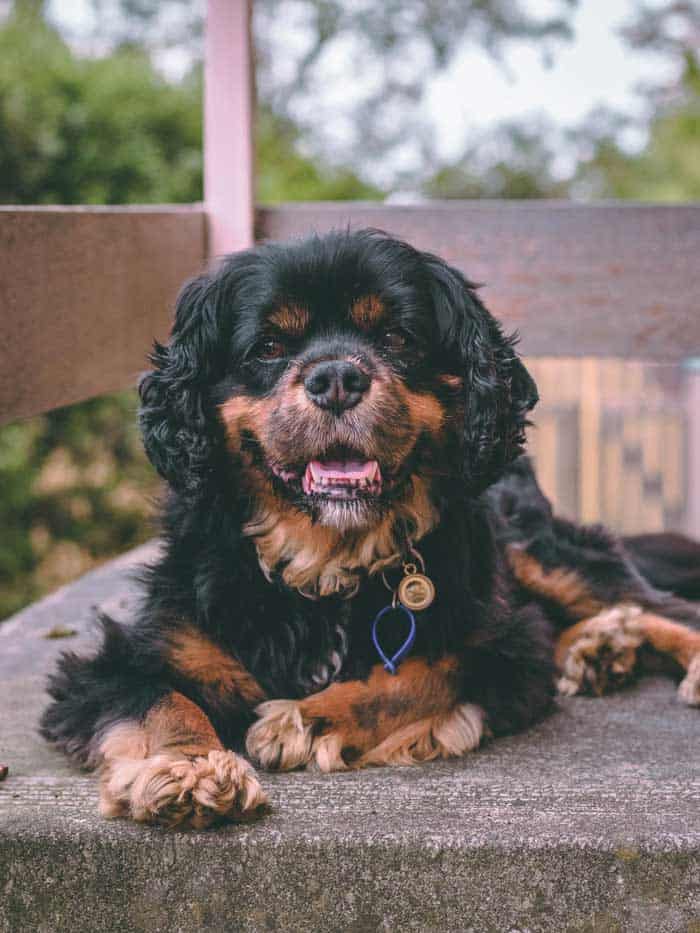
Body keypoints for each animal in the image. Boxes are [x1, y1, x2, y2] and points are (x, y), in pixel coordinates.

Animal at [39, 229, 700, 828]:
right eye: (269, 346)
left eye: (396, 337)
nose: (336, 377)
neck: (324, 561)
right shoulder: (123, 657)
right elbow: (160, 702)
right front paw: (189, 769)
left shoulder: (502, 646)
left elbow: (421, 673)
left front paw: (305, 719)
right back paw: (600, 647)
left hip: (536, 549)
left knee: (653, 606)